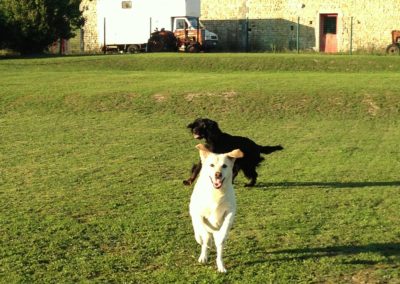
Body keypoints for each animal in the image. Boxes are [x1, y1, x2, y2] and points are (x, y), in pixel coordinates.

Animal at [188, 144, 242, 272]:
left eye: (224, 166)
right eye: (211, 165)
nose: (218, 174)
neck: (216, 193)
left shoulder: (230, 212)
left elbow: (222, 235)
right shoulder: (198, 214)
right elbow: (204, 234)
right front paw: (206, 242)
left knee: (219, 246)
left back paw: (221, 265)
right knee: (200, 235)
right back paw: (203, 255)